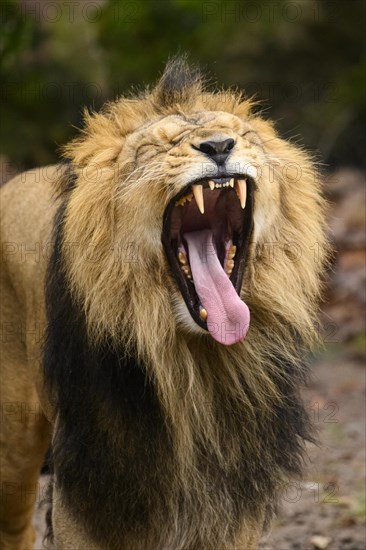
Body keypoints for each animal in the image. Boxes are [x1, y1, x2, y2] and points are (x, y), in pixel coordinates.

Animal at [0, 58, 326, 548]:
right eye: (160, 146)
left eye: (242, 134)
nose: (219, 146)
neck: (194, 364)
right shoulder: (91, 491)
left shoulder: (232, 501)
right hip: (13, 442)